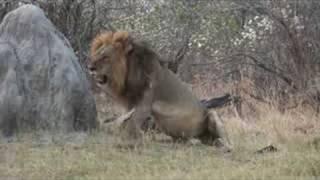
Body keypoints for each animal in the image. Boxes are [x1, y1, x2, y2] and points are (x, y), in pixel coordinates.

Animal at [89, 31, 231, 150]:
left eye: (105, 57)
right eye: (96, 55)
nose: (90, 67)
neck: (129, 73)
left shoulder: (145, 104)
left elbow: (130, 125)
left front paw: (125, 142)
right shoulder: (131, 104)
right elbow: (125, 121)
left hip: (212, 114)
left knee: (226, 142)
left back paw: (221, 144)